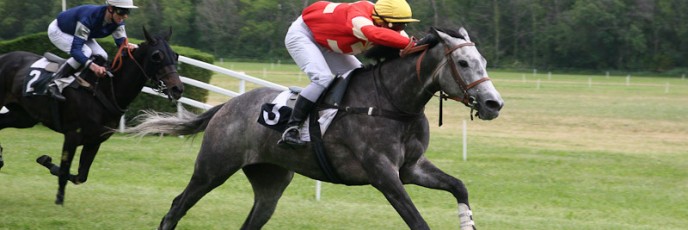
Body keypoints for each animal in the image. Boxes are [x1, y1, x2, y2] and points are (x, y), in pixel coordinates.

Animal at [0, 27, 184, 204]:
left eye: (175, 55)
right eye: (156, 56)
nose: (177, 88)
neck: (104, 89)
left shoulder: (95, 139)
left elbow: (80, 176)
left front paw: (46, 161)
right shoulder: (73, 134)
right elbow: (65, 170)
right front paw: (59, 200)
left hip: (24, 117)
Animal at [129, 27, 502, 230]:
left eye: (483, 62)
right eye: (463, 63)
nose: (493, 104)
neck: (392, 102)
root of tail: (227, 106)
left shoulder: (411, 168)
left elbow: (459, 186)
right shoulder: (383, 174)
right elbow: (417, 220)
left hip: (270, 182)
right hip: (212, 169)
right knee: (177, 206)